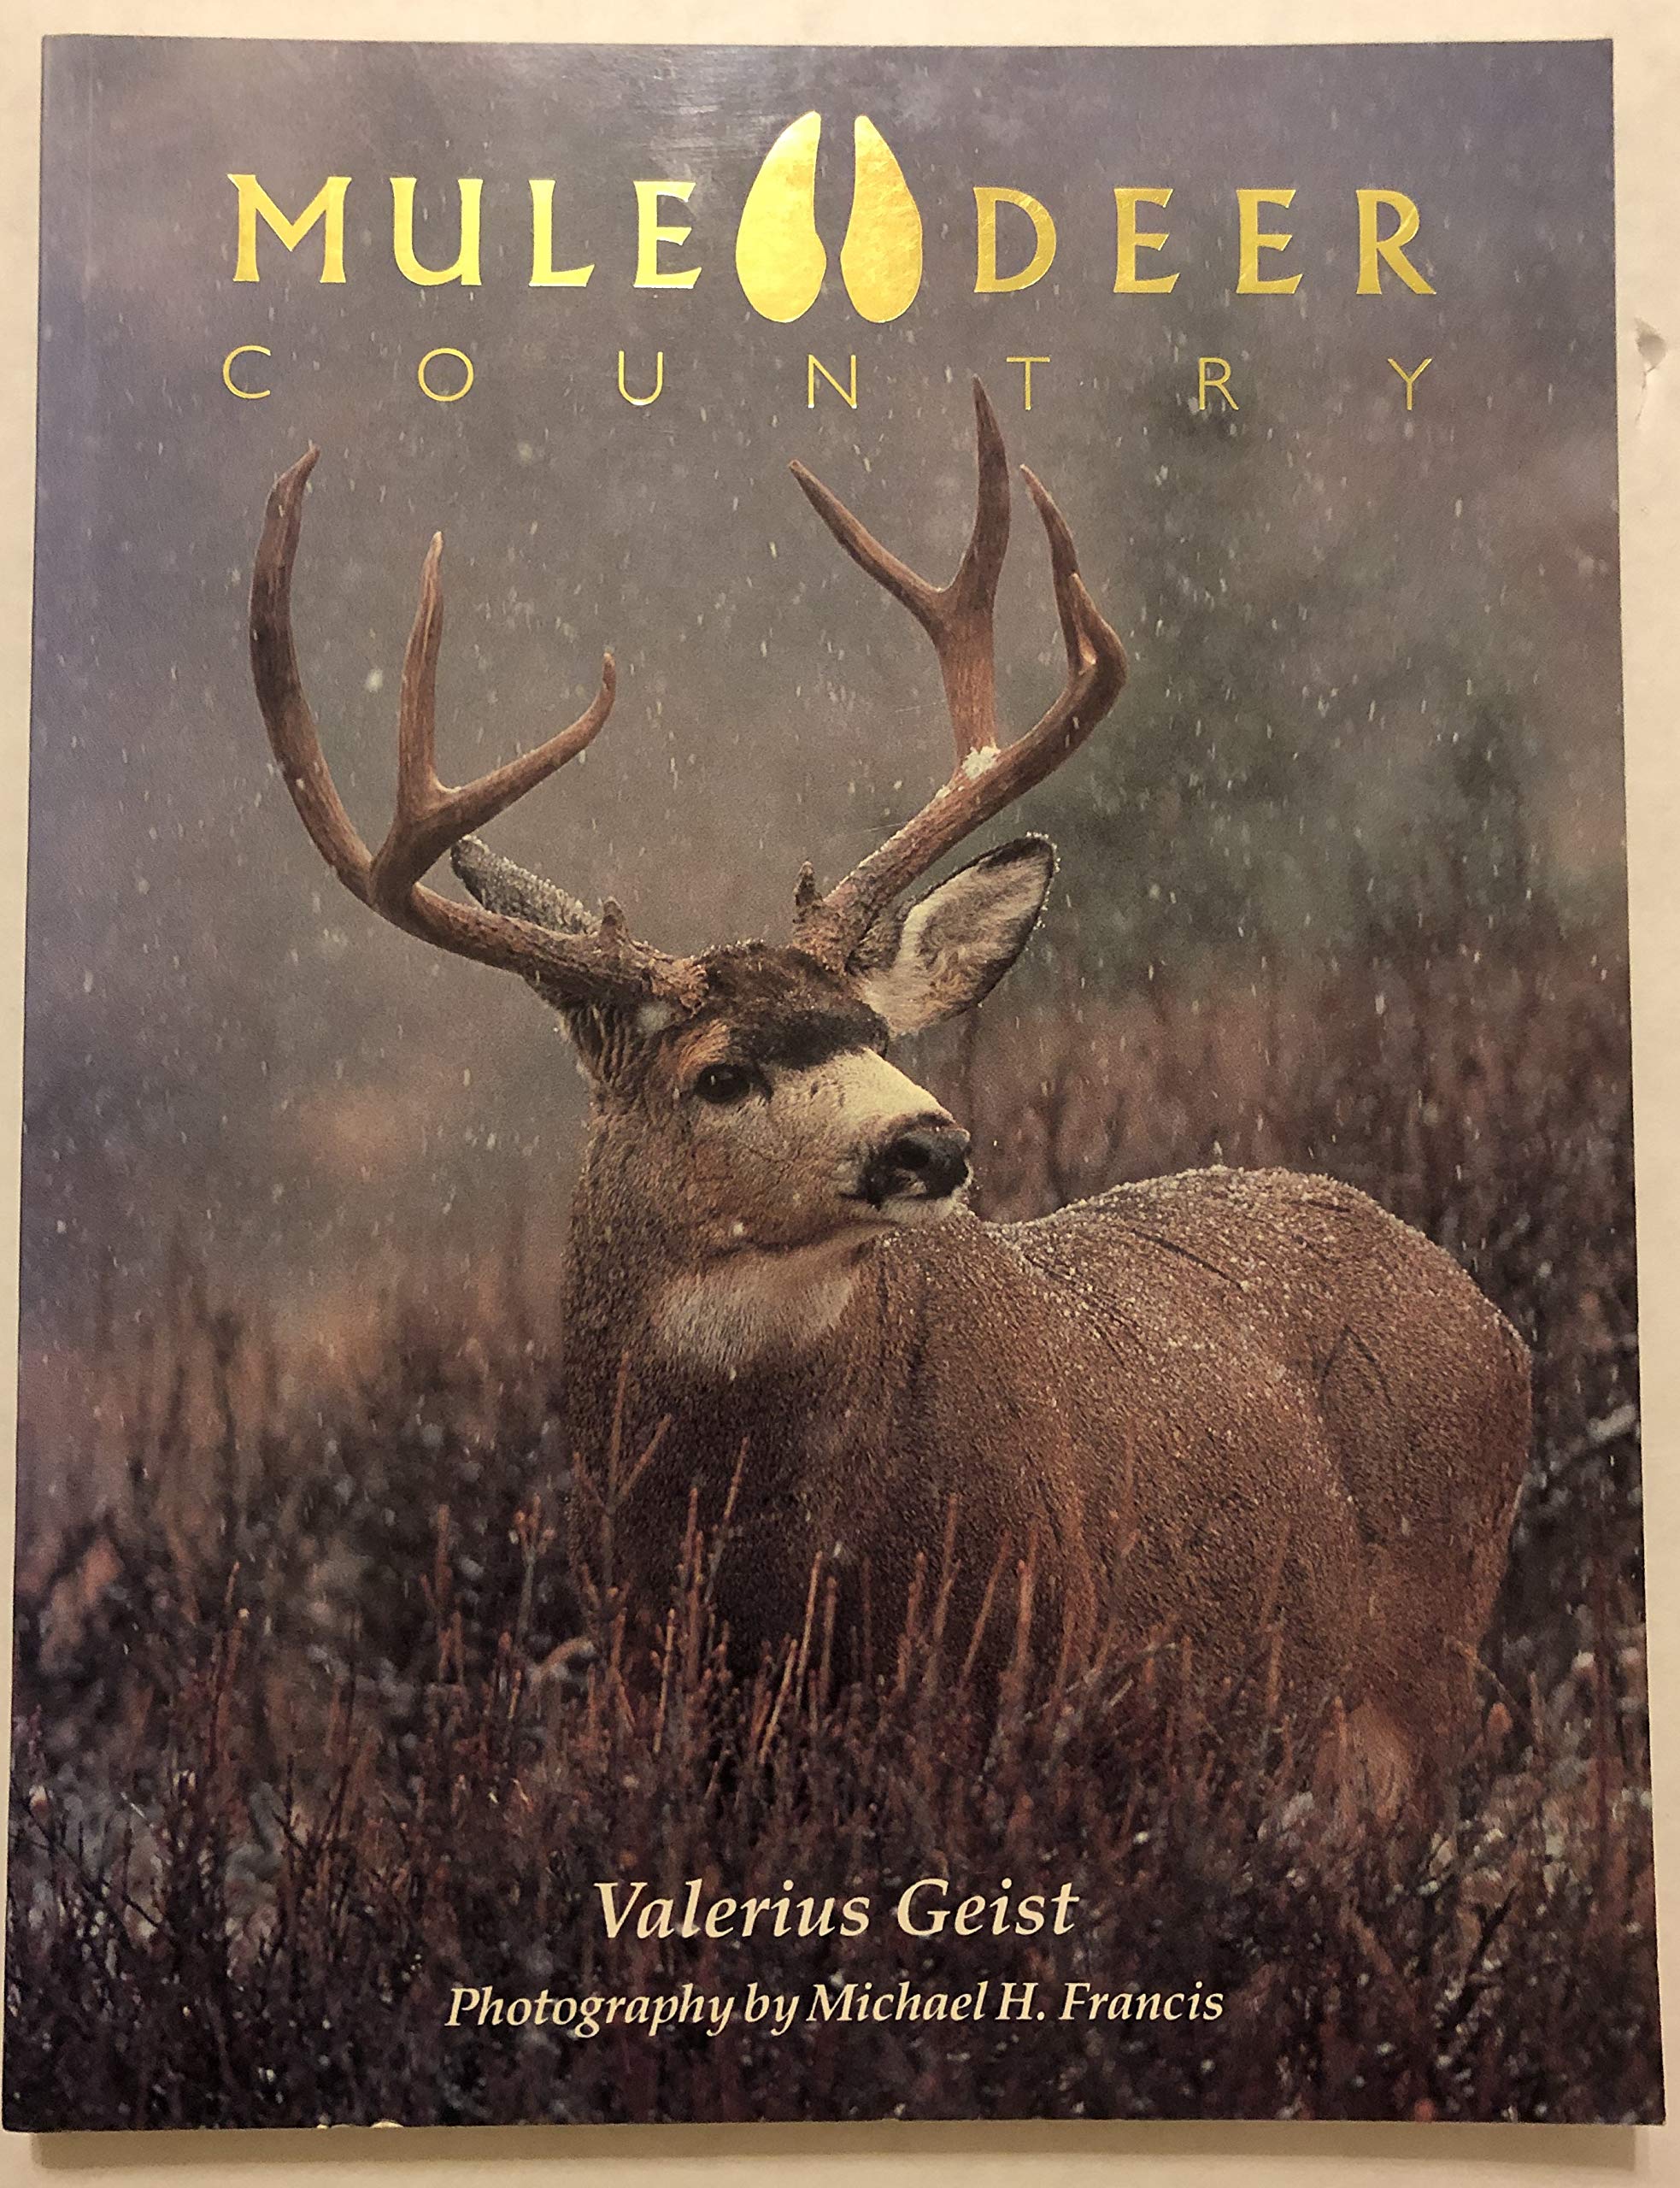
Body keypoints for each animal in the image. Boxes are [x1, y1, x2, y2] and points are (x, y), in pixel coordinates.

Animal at [249, 381, 1530, 1818]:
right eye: (718, 1072)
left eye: (872, 1031)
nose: (929, 1141)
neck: (759, 1561)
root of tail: (1489, 1315)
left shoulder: (1015, 1680)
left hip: (1413, 1688)